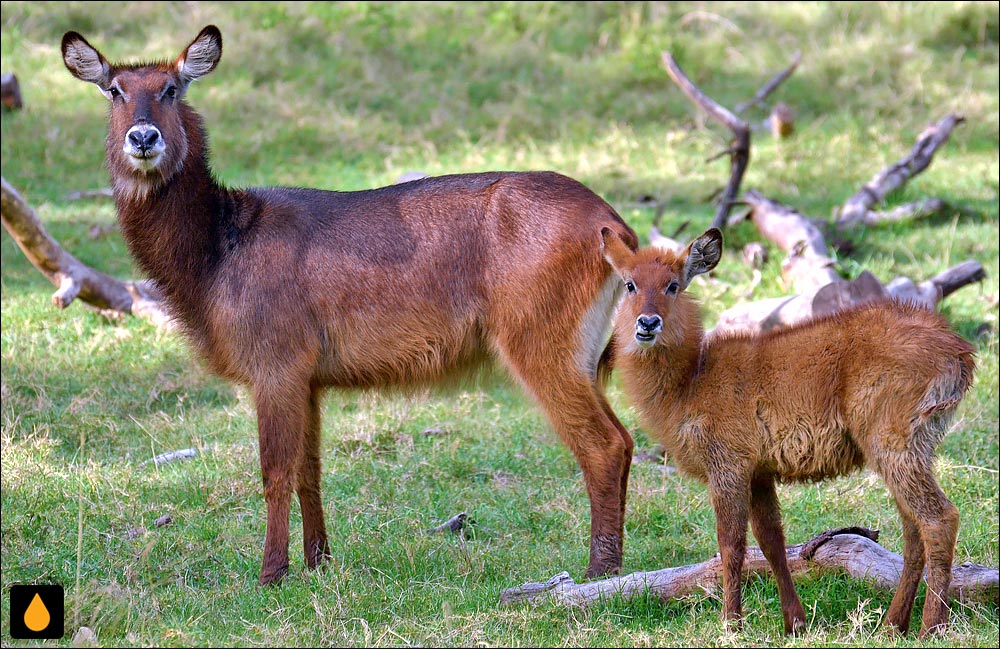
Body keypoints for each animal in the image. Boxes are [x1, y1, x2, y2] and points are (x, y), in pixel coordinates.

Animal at [62, 25, 636, 584]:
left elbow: (274, 471)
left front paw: (270, 573)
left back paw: (599, 571)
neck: (215, 252)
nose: (143, 137)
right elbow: (308, 470)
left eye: (171, 88)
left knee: (605, 443)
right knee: (624, 440)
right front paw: (318, 560)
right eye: (114, 90)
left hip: (542, 343)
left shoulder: (275, 364)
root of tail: (615, 225)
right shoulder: (309, 377)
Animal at [600, 227, 976, 632]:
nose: (647, 323)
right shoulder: (760, 472)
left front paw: (731, 623)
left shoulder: (729, 465)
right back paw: (893, 625)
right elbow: (771, 542)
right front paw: (795, 621)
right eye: (630, 284)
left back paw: (931, 627)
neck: (689, 383)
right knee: (913, 528)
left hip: (893, 441)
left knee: (939, 518)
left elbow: (730, 545)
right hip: (913, 448)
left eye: (672, 285)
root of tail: (961, 352)